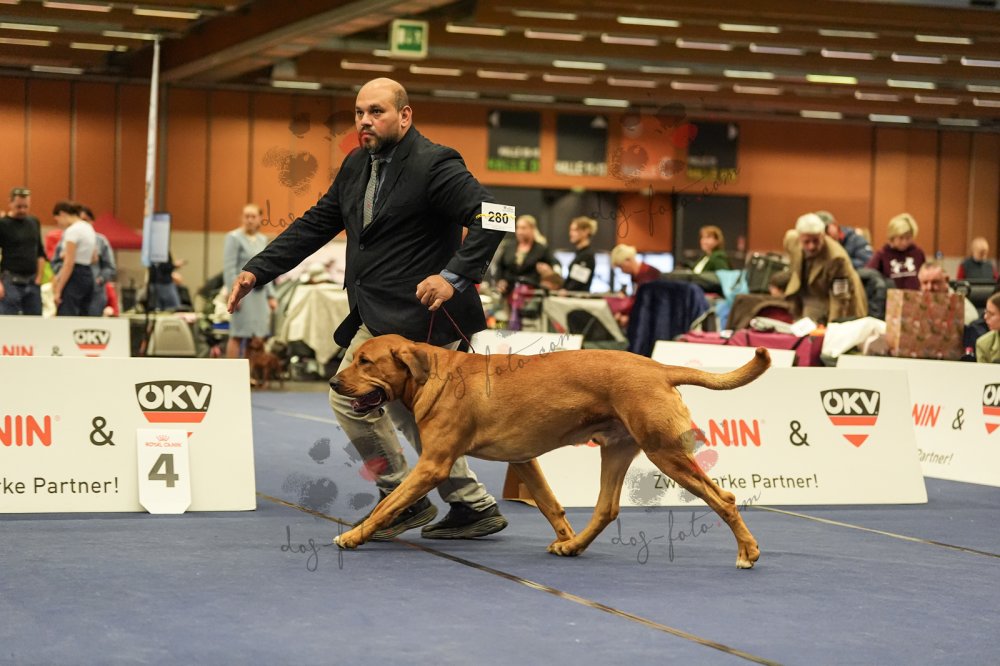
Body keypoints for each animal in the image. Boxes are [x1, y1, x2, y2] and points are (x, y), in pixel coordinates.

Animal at [329, 334, 771, 568]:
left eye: (365, 361)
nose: (333, 382)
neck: (431, 375)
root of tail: (659, 368)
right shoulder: (523, 459)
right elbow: (550, 505)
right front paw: (565, 537)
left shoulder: (433, 465)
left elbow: (390, 503)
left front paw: (353, 535)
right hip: (616, 451)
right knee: (606, 508)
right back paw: (575, 547)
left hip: (666, 453)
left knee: (724, 498)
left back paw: (747, 551)